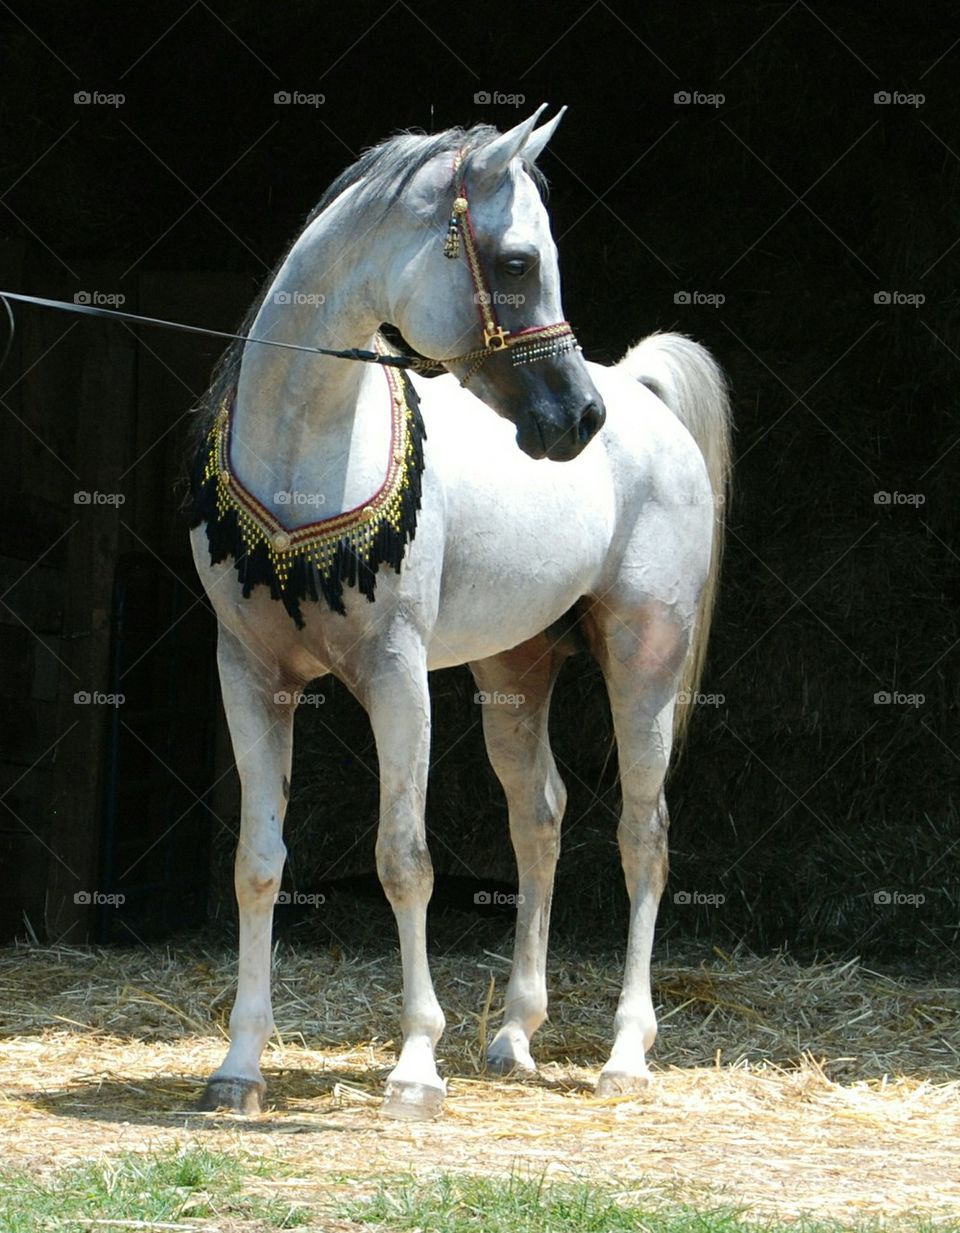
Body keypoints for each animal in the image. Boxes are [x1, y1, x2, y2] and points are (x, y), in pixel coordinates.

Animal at [188, 104, 731, 1120]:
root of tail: (638, 393)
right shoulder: (249, 676)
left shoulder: (398, 676)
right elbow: (257, 861)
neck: (306, 456)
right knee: (541, 817)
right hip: (515, 669)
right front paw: (239, 1066)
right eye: (516, 262)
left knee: (644, 833)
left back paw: (625, 1053)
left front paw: (415, 1066)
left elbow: (405, 858)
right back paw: (515, 1035)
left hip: (645, 656)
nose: (577, 420)